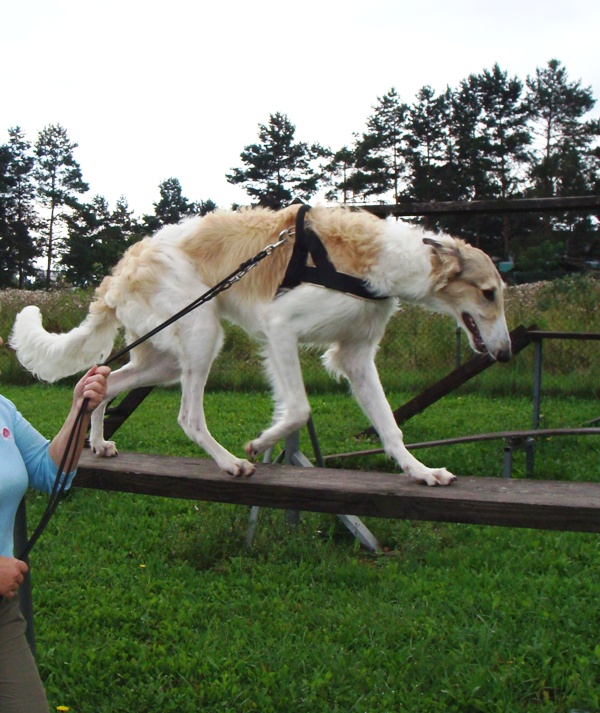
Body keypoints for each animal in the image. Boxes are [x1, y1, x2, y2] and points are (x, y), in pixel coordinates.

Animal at [10, 206, 510, 484]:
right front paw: (261, 443)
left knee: (103, 383)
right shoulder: (281, 327)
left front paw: (420, 472)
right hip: (201, 334)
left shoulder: (355, 356)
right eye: (489, 293)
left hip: (165, 358)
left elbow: (390, 428)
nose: (505, 353)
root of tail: (123, 267)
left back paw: (97, 443)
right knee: (187, 416)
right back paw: (231, 463)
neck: (380, 259)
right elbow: (300, 408)